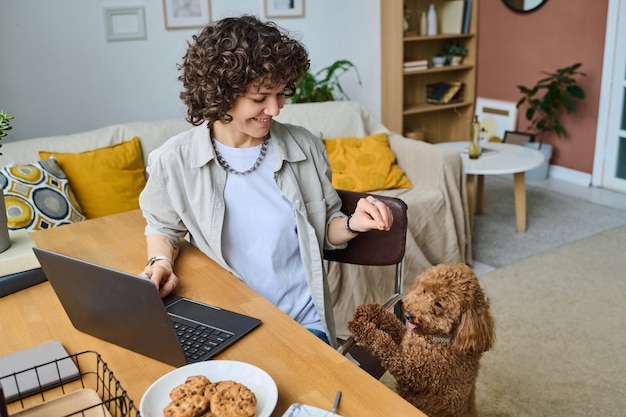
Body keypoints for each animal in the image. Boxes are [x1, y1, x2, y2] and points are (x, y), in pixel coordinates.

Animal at [346, 264, 492, 416]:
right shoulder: (406, 339)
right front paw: (371, 309)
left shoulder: (410, 371)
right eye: (424, 290)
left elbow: (384, 344)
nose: (408, 315)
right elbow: (392, 321)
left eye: (438, 304)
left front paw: (362, 327)